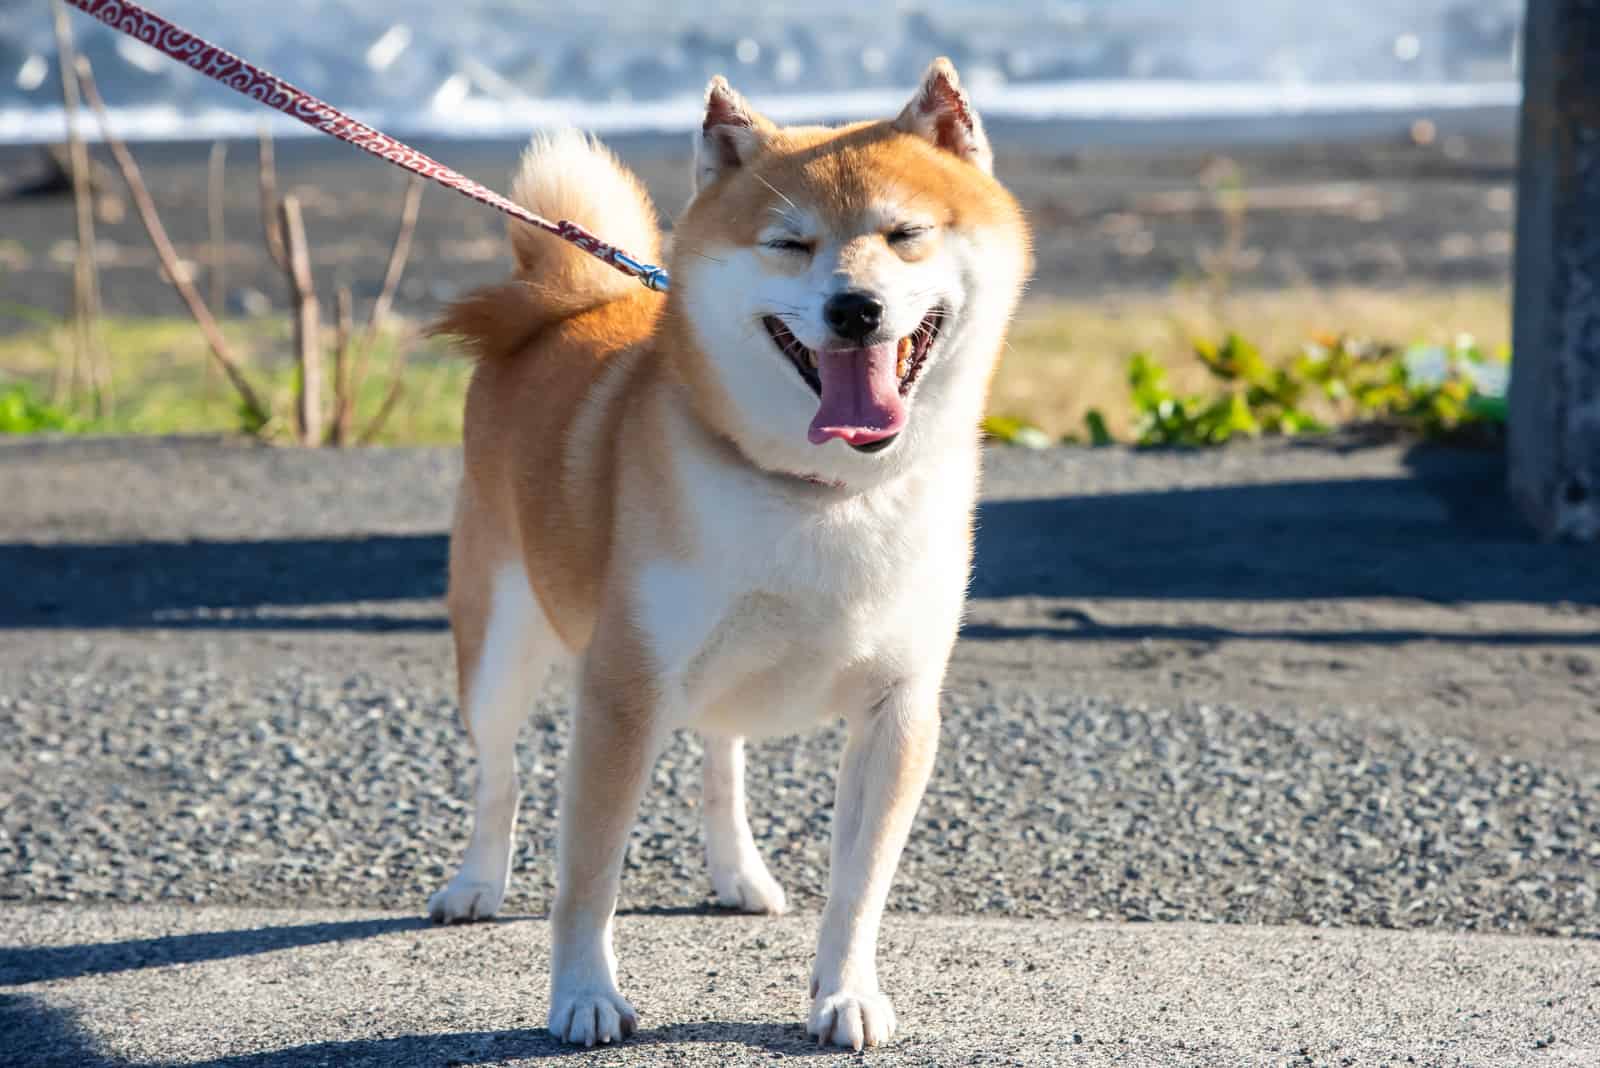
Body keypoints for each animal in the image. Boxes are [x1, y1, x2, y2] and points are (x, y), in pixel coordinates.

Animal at [428, 58, 1024, 1048]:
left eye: (905, 234)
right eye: (790, 243)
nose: (854, 308)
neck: (824, 494)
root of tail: (577, 300)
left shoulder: (899, 709)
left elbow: (860, 885)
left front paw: (845, 993)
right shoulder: (621, 694)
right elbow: (589, 876)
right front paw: (584, 995)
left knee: (721, 758)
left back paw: (737, 871)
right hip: (500, 646)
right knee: (500, 774)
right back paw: (477, 881)